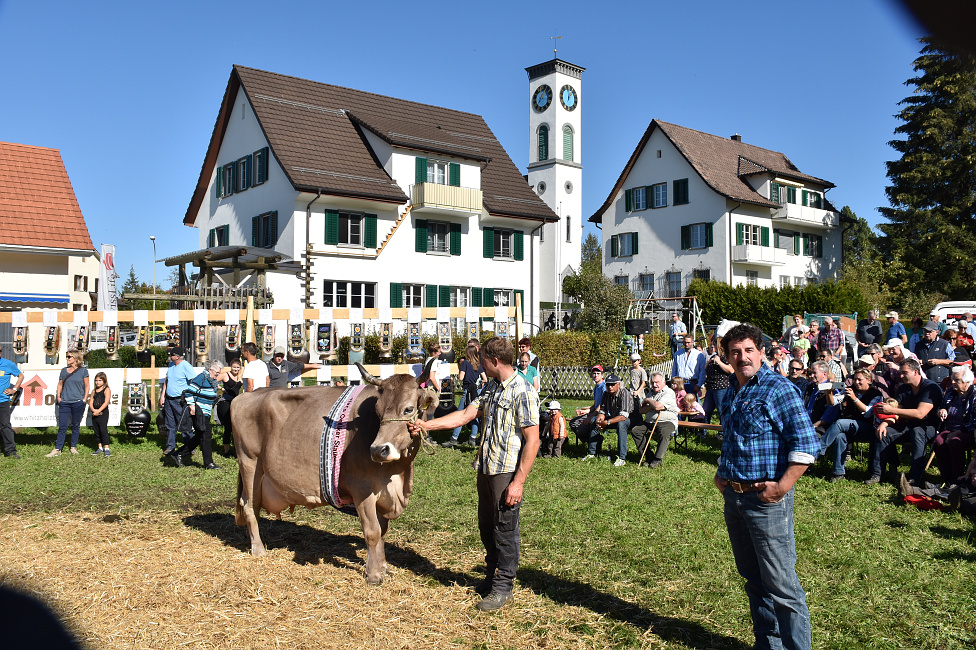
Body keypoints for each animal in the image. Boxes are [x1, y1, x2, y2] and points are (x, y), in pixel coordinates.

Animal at [231, 364, 436, 584]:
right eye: (378, 411)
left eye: (408, 409)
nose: (378, 450)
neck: (400, 472)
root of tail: (247, 395)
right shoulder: (362, 489)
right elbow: (372, 532)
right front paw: (373, 575)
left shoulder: (385, 493)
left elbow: (382, 531)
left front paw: (383, 567)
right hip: (249, 462)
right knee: (250, 506)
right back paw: (258, 550)